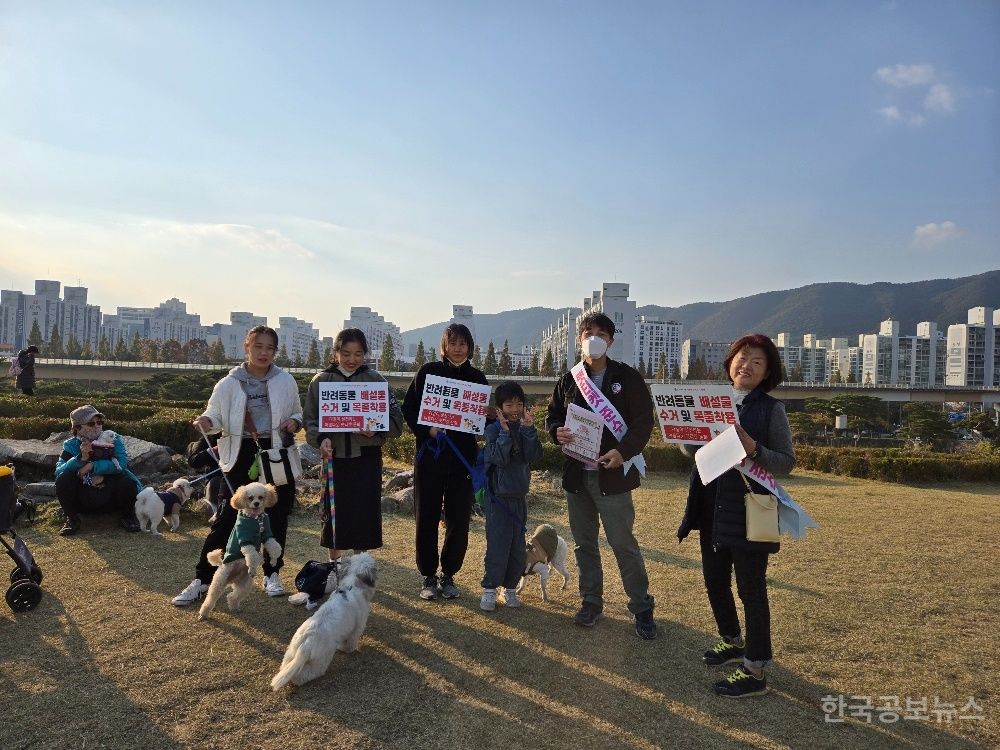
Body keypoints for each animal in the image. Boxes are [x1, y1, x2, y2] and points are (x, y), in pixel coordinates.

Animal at [197, 482, 282, 624]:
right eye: (250, 498)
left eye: (261, 497)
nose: (256, 503)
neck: (255, 519)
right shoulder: (245, 540)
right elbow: (252, 555)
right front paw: (252, 567)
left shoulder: (267, 535)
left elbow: (274, 547)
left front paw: (274, 560)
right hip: (219, 582)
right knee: (210, 599)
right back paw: (203, 614)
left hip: (244, 585)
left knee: (233, 596)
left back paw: (234, 607)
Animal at [272, 552, 376, 692]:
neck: (351, 587)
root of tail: (305, 645)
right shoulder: (357, 627)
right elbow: (350, 642)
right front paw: (347, 649)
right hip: (321, 659)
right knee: (307, 673)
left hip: (291, 652)